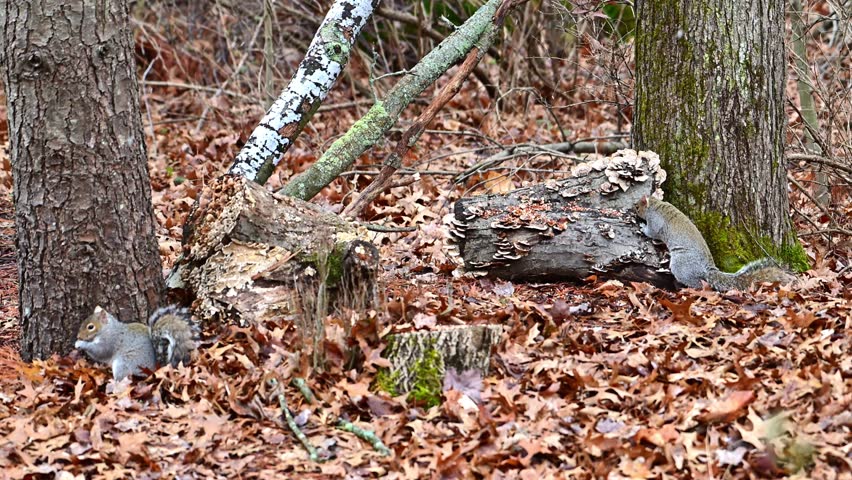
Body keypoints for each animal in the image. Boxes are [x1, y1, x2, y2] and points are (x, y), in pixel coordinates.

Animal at [636, 196, 796, 291]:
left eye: (637, 206)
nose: (633, 207)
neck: (655, 205)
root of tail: (707, 269)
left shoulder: (655, 221)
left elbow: (652, 232)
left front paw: (642, 228)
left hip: (682, 265)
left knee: (697, 283)